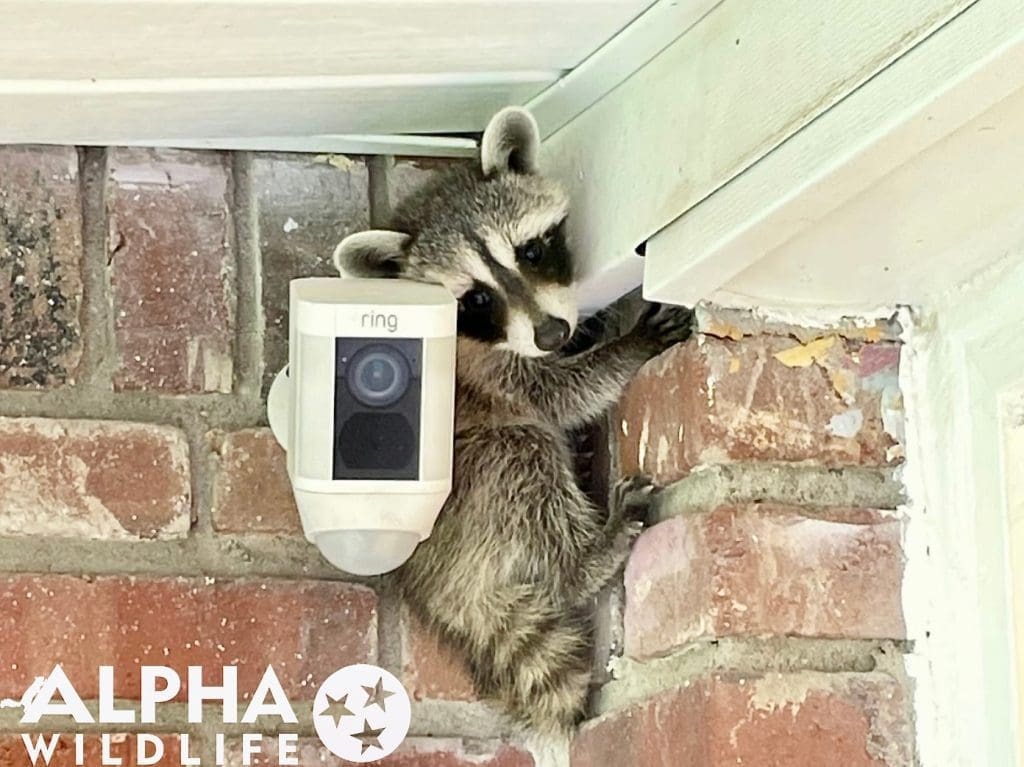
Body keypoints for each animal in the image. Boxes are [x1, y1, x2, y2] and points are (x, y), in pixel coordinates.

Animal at [333, 107, 692, 734]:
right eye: (475, 298)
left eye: (530, 252)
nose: (552, 334)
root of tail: (433, 584)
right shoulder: (482, 371)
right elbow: (558, 395)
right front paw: (626, 347)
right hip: (461, 491)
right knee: (522, 454)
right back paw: (587, 557)